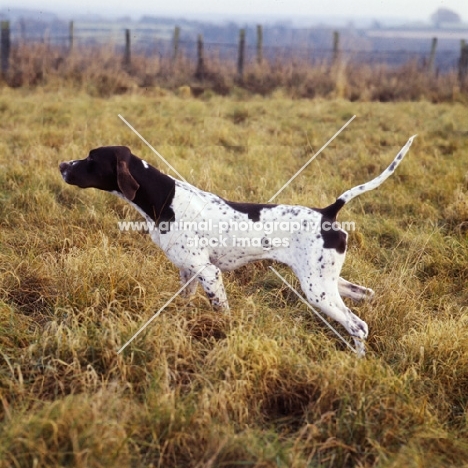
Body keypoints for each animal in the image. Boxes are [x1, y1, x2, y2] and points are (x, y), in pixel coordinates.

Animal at [60, 136, 414, 354]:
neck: (165, 200)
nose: (62, 165)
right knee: (364, 299)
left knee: (358, 325)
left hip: (317, 290)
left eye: (91, 158)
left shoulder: (209, 273)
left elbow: (222, 312)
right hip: (328, 281)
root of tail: (329, 211)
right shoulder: (187, 273)